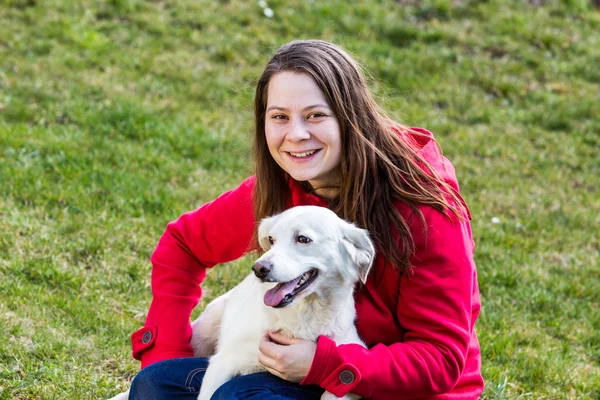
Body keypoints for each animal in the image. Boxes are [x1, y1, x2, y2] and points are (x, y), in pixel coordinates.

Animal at [110, 206, 372, 400]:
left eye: (303, 239)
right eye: (271, 239)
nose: (259, 268)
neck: (301, 317)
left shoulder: (346, 377)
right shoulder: (221, 364)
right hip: (203, 334)